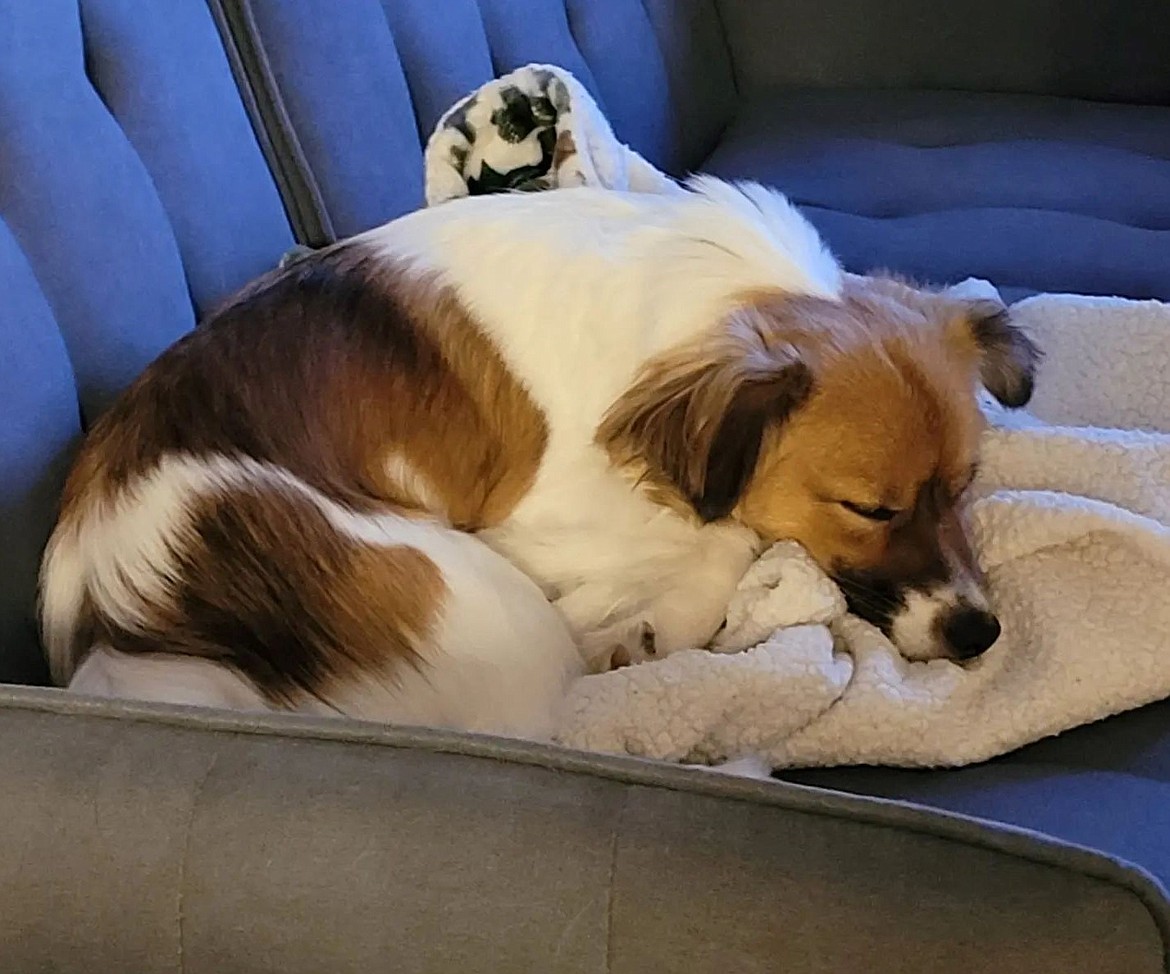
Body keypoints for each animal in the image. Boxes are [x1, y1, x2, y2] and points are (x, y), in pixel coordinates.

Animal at [41, 176, 1038, 739]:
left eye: (966, 486)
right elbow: (727, 535)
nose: (980, 634)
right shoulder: (536, 518)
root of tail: (127, 622)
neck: (706, 301)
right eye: (870, 509)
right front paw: (655, 615)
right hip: (476, 592)